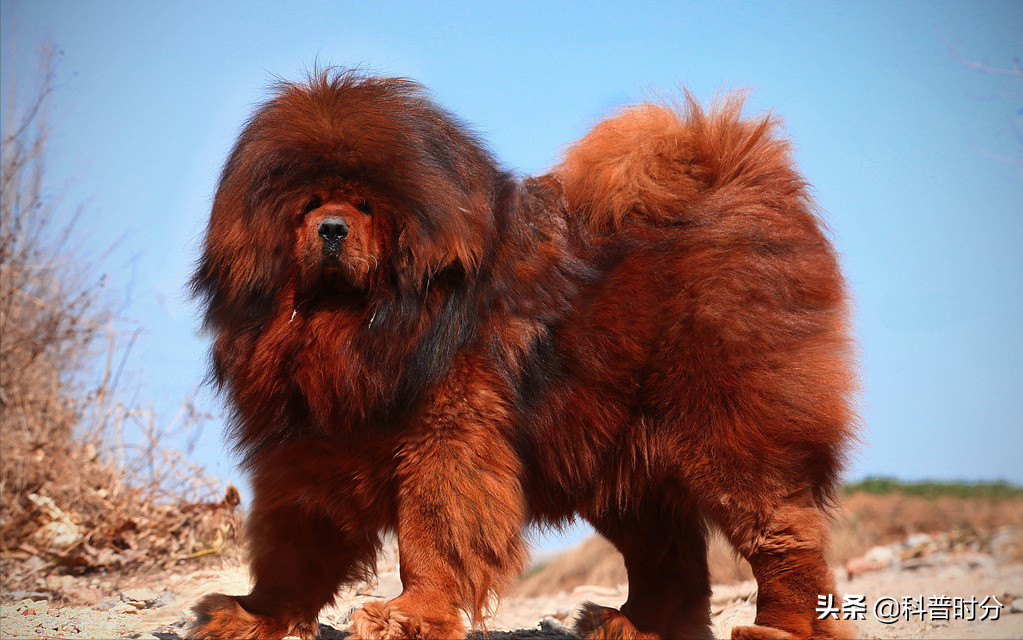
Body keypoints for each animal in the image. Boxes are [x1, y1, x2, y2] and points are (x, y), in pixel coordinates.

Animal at [190, 71, 855, 637]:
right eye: (308, 207)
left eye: (365, 207)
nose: (331, 228)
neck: (351, 331)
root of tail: (733, 175)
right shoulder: (308, 448)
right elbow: (291, 544)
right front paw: (253, 615)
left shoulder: (446, 440)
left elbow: (427, 537)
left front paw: (407, 615)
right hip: (619, 460)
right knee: (670, 557)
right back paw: (632, 625)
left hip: (728, 434)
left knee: (782, 534)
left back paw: (780, 627)